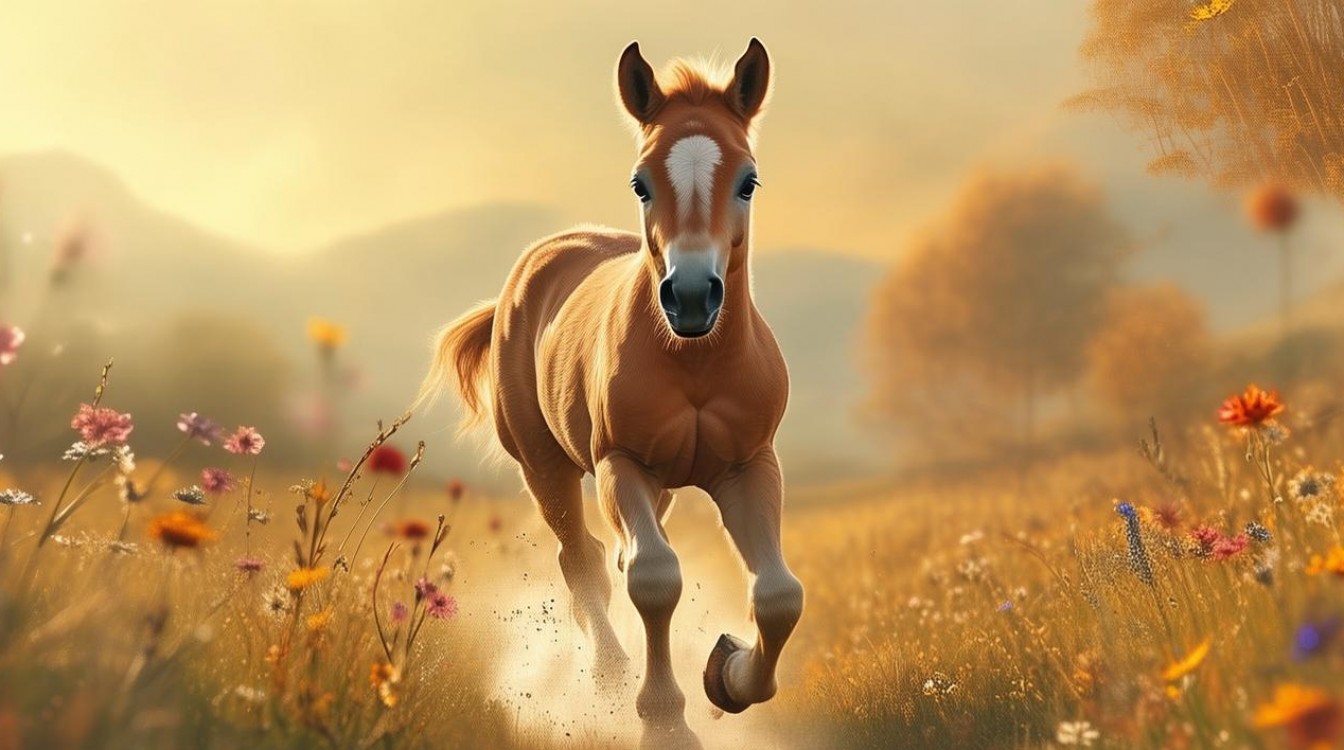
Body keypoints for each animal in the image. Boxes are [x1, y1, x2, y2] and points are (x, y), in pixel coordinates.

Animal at [419, 38, 803, 747]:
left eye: (748, 181)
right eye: (641, 182)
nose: (690, 297)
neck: (695, 362)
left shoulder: (749, 465)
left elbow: (779, 595)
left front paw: (727, 676)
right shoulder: (620, 464)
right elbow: (654, 579)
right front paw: (664, 720)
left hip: (663, 484)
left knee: (612, 560)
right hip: (547, 466)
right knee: (585, 562)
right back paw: (609, 677)